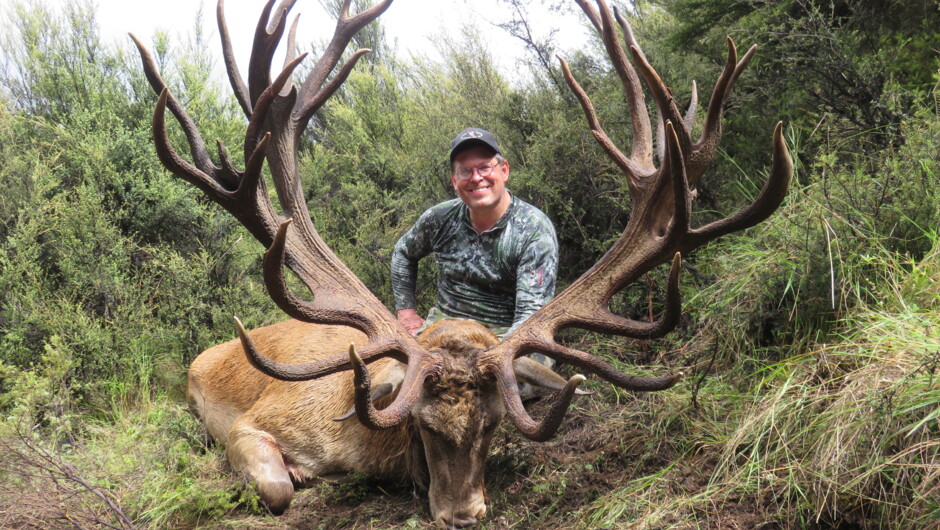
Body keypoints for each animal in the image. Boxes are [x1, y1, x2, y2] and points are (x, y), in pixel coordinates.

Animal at [130, 0, 792, 528]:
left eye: (494, 425)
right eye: (423, 426)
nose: (463, 515)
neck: (368, 444)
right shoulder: (258, 420)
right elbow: (276, 486)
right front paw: (299, 477)